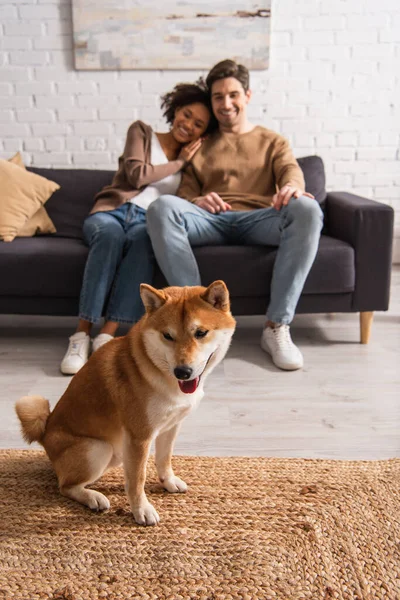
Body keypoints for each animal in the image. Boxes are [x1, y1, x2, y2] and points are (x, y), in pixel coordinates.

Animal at [14, 280, 234, 524]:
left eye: (201, 333)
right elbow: (138, 479)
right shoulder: (140, 436)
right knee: (65, 486)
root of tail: (44, 435)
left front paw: (168, 482)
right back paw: (93, 497)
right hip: (98, 448)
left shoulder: (171, 427)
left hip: (116, 452)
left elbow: (164, 459)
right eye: (167, 336)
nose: (182, 372)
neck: (156, 371)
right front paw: (141, 510)